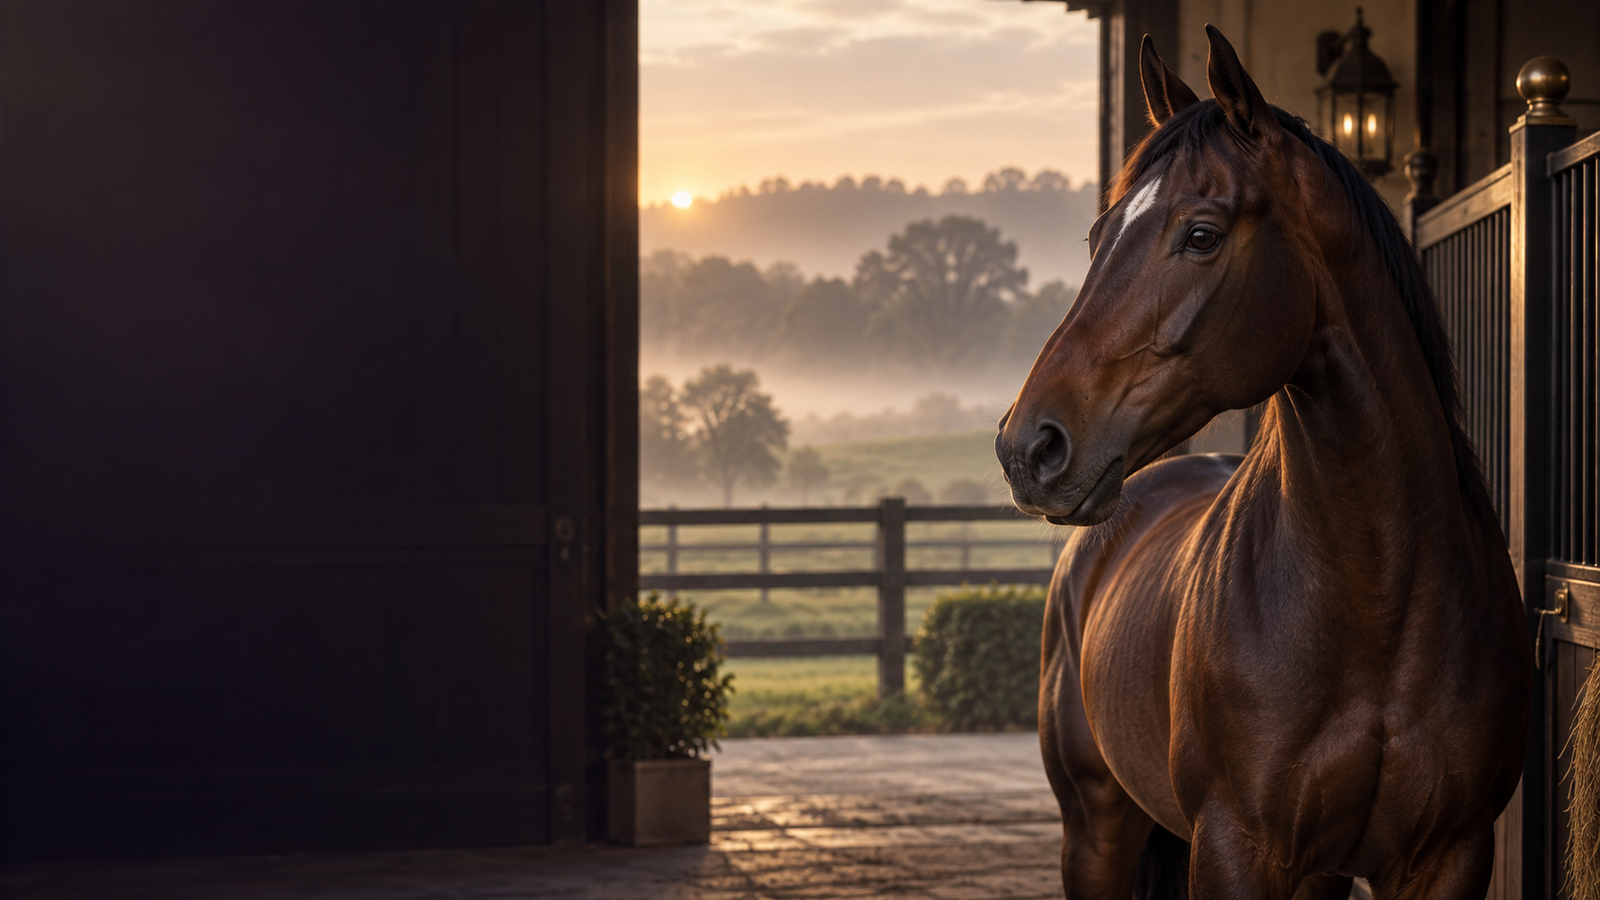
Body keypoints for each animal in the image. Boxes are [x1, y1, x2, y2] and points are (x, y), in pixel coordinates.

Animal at [994, 27, 1531, 900]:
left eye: (1201, 234)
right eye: (1099, 238)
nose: (1028, 446)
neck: (1381, 606)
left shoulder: (1450, 855)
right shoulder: (1237, 851)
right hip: (1096, 832)